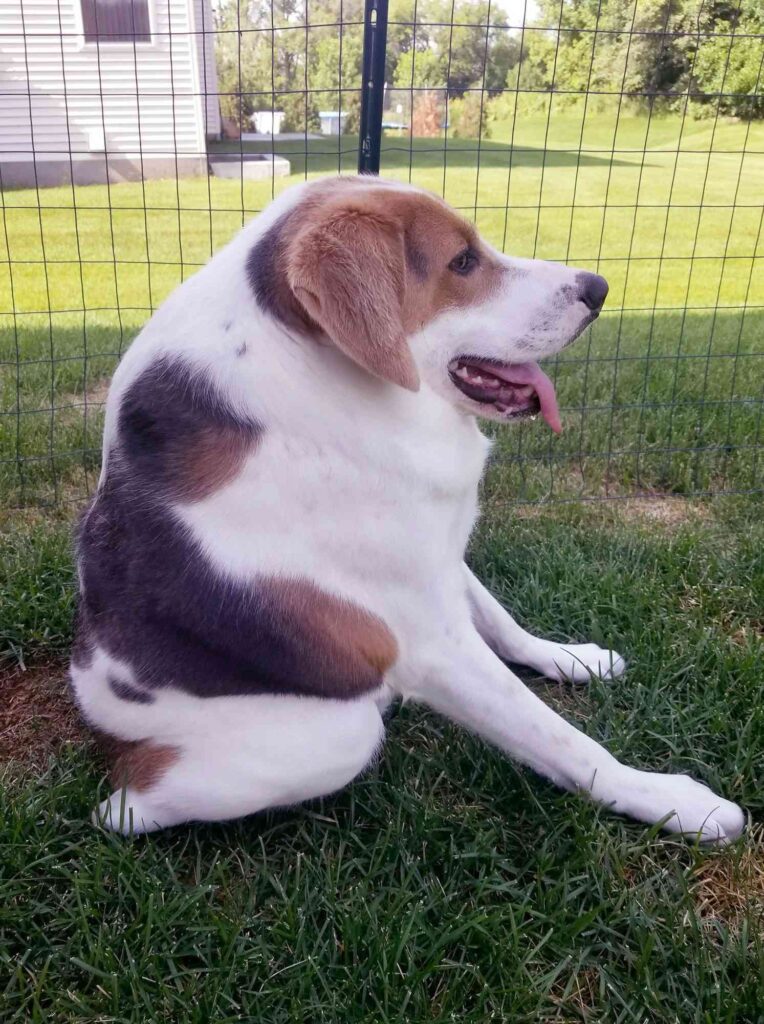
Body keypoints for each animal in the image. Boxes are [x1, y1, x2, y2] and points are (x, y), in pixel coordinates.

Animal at [68, 176, 741, 843]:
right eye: (462, 261)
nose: (598, 289)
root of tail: (94, 705)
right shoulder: (430, 644)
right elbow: (560, 740)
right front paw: (673, 802)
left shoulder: (438, 561)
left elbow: (502, 623)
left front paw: (569, 658)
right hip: (336, 734)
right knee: (124, 810)